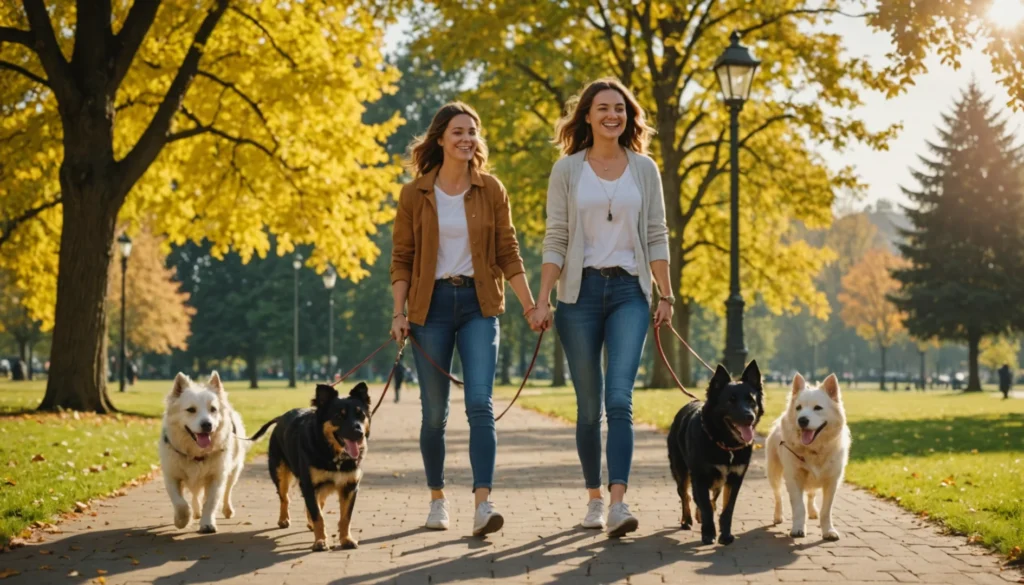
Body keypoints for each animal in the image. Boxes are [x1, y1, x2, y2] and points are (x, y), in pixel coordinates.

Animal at [158, 372, 248, 532]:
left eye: (213, 409)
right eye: (191, 410)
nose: (207, 425)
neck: (196, 453)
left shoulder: (216, 477)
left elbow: (211, 502)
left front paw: (207, 523)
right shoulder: (171, 476)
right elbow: (180, 503)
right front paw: (182, 520)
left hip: (234, 471)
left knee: (227, 491)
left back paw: (227, 510)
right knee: (195, 496)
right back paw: (195, 512)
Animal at [249, 383, 370, 553]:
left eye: (361, 415)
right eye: (339, 416)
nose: (359, 433)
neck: (331, 451)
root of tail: (280, 418)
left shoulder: (350, 486)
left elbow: (345, 517)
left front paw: (346, 539)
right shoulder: (308, 485)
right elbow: (318, 516)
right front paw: (320, 541)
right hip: (280, 474)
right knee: (285, 497)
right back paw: (284, 519)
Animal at [667, 358, 765, 549]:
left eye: (751, 400)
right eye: (730, 401)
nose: (749, 416)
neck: (725, 444)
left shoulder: (735, 479)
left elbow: (726, 509)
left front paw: (725, 535)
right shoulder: (699, 477)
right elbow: (705, 506)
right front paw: (708, 533)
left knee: (709, 499)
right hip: (681, 471)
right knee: (685, 494)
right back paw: (687, 519)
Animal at [765, 372, 851, 540]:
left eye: (818, 408)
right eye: (798, 408)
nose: (802, 420)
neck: (814, 449)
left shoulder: (832, 481)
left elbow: (826, 511)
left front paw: (828, 531)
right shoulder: (793, 478)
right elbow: (799, 507)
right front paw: (798, 529)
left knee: (811, 495)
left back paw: (813, 512)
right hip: (774, 474)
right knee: (778, 496)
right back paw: (778, 516)